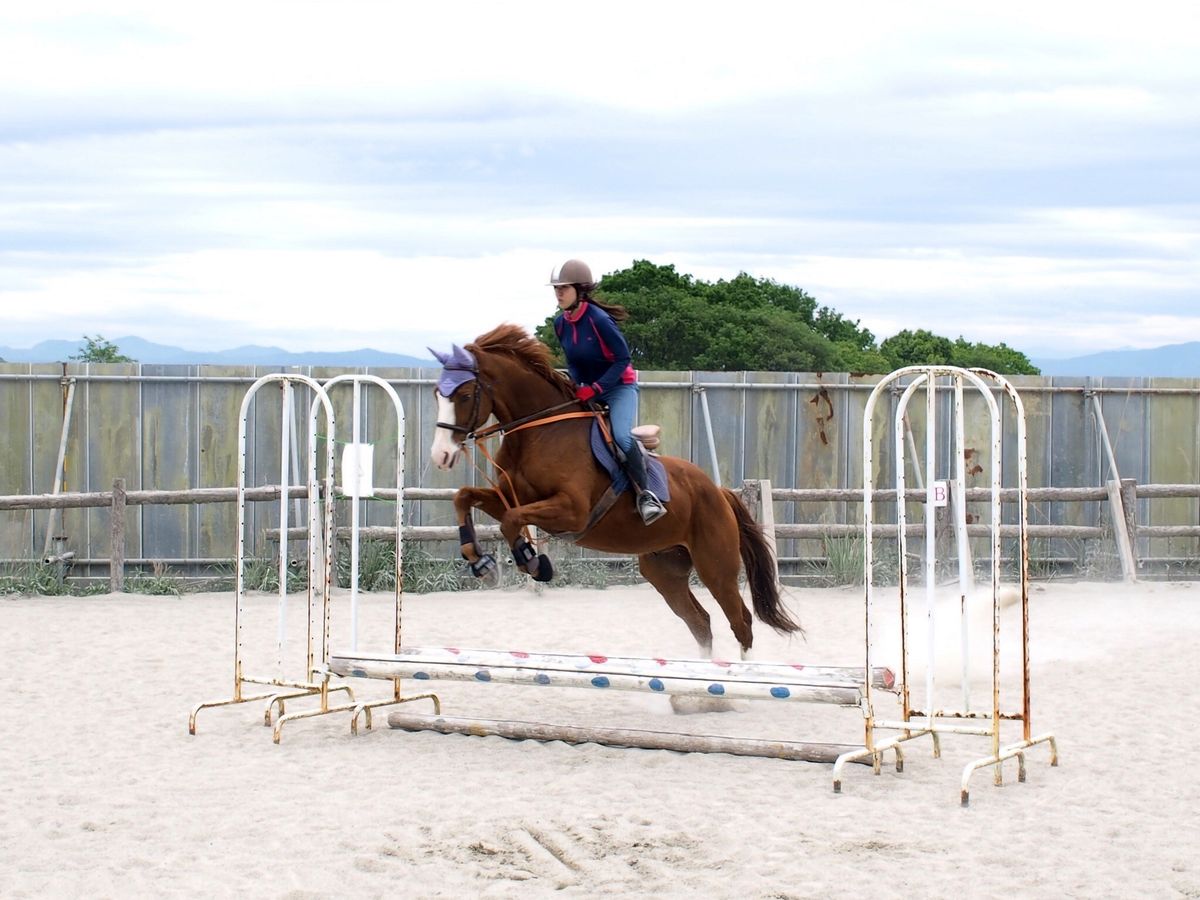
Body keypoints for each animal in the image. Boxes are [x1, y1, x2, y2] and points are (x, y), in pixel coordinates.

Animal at [428, 323, 802, 658]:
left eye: (464, 395)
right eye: (437, 394)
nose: (441, 455)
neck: (538, 432)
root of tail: (719, 491)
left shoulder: (572, 511)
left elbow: (510, 520)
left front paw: (532, 562)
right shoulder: (509, 497)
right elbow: (465, 498)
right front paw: (481, 562)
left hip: (715, 565)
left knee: (740, 621)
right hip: (664, 569)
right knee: (700, 621)